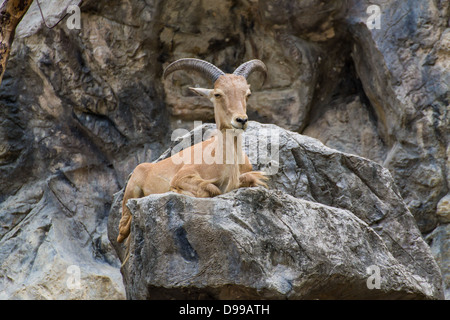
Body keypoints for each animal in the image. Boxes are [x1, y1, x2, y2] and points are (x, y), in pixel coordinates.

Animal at [116, 58, 268, 242]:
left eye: (247, 94)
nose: (241, 120)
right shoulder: (184, 175)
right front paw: (175, 190)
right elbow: (211, 189)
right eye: (218, 94)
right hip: (132, 191)